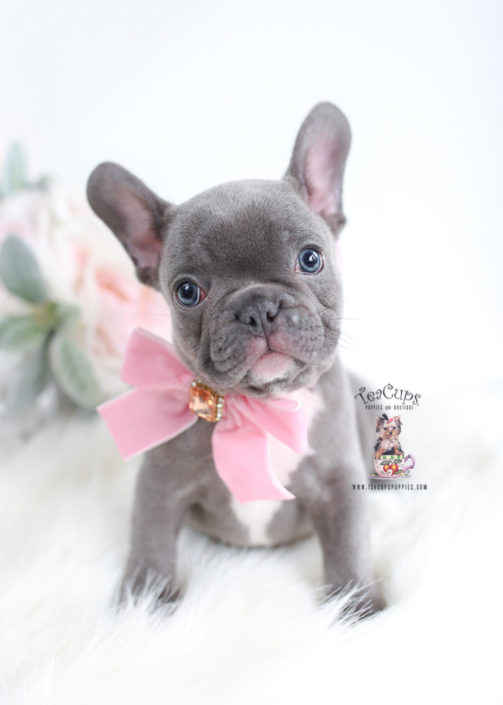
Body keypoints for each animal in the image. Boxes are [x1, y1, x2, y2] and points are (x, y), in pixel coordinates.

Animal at [88, 100, 384, 616]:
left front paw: (357, 607)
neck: (261, 408)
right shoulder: (160, 487)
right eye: (187, 292)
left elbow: (348, 549)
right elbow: (150, 545)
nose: (257, 307)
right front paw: (144, 604)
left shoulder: (338, 484)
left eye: (310, 259)